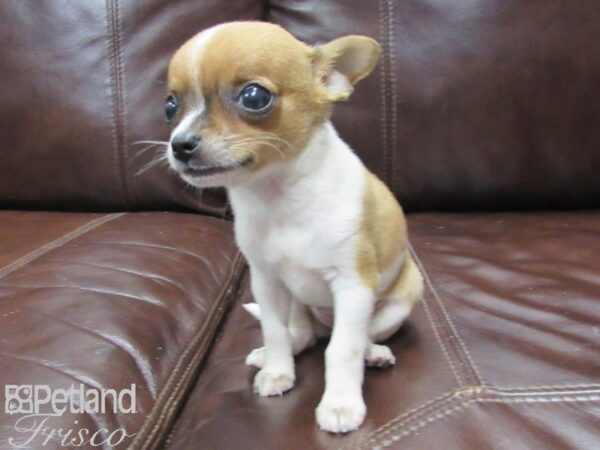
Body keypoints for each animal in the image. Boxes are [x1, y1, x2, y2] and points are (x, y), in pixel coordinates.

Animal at [164, 21, 424, 432]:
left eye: (254, 96)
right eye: (170, 107)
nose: (180, 144)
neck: (278, 196)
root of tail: (323, 323)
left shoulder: (353, 285)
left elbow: (342, 349)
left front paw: (341, 404)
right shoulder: (267, 282)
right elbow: (275, 332)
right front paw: (277, 371)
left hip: (397, 303)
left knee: (353, 335)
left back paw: (373, 352)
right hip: (297, 303)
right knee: (301, 335)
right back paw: (275, 352)